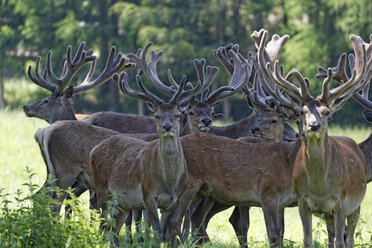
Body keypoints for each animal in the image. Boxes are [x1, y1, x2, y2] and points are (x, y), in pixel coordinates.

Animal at [258, 29, 370, 248]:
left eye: (326, 112)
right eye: (302, 111)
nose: (313, 126)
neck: (320, 188)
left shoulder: (342, 202)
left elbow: (341, 242)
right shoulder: (303, 201)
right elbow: (307, 239)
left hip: (356, 205)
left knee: (350, 238)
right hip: (328, 214)